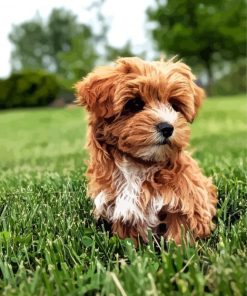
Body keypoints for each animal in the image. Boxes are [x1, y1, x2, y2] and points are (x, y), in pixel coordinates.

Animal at [76, 56, 217, 244]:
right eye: (135, 103)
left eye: (175, 106)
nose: (167, 127)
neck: (139, 164)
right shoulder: (121, 209)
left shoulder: (186, 201)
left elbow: (180, 232)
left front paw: (182, 248)